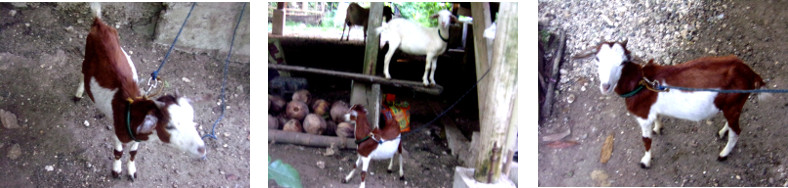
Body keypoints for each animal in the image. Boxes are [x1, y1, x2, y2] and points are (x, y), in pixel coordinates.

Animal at [74, 2, 206, 179]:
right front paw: (116, 170)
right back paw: (79, 93)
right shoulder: (119, 133)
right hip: (87, 55)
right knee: (83, 72)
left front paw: (131, 171)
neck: (131, 110)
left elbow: (133, 153)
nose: (202, 149)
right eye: (169, 126)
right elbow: (118, 152)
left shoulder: (139, 138)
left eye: (192, 119)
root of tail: (99, 24)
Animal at [584, 41, 764, 168]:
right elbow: (657, 119)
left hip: (734, 102)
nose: (605, 86)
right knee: (732, 123)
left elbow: (646, 140)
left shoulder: (644, 117)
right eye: (597, 59)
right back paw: (722, 132)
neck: (639, 83)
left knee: (737, 131)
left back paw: (723, 154)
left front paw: (645, 161)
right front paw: (658, 128)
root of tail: (750, 74)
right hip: (732, 105)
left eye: (622, 62)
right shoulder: (652, 111)